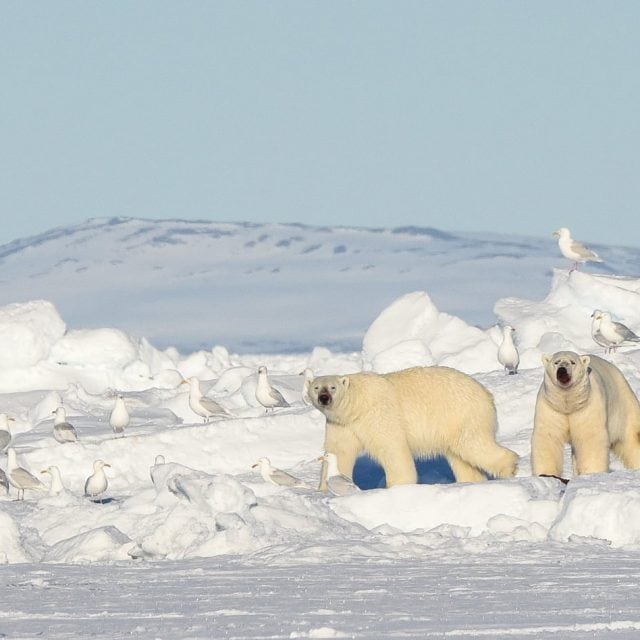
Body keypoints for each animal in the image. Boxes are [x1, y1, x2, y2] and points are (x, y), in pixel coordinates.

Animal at [308, 366, 519, 489]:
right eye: (316, 387)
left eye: (333, 387)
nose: (324, 398)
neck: (357, 404)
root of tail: (487, 394)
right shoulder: (341, 424)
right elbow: (339, 451)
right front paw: (325, 488)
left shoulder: (378, 414)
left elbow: (392, 448)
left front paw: (398, 486)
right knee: (461, 457)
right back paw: (472, 481)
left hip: (462, 415)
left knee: (474, 444)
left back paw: (510, 468)